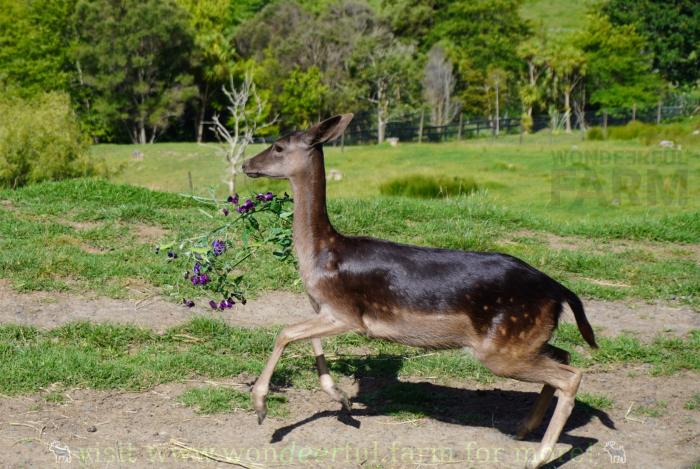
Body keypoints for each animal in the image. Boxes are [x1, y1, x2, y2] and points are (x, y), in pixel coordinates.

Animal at [242, 114, 597, 469]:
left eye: (278, 146)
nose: (247, 164)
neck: (319, 257)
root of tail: (560, 290)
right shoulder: (325, 309)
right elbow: (307, 339)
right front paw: (340, 396)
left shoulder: (349, 315)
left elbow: (285, 332)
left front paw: (261, 406)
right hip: (524, 338)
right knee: (563, 355)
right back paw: (525, 428)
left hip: (502, 348)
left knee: (571, 376)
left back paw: (537, 457)